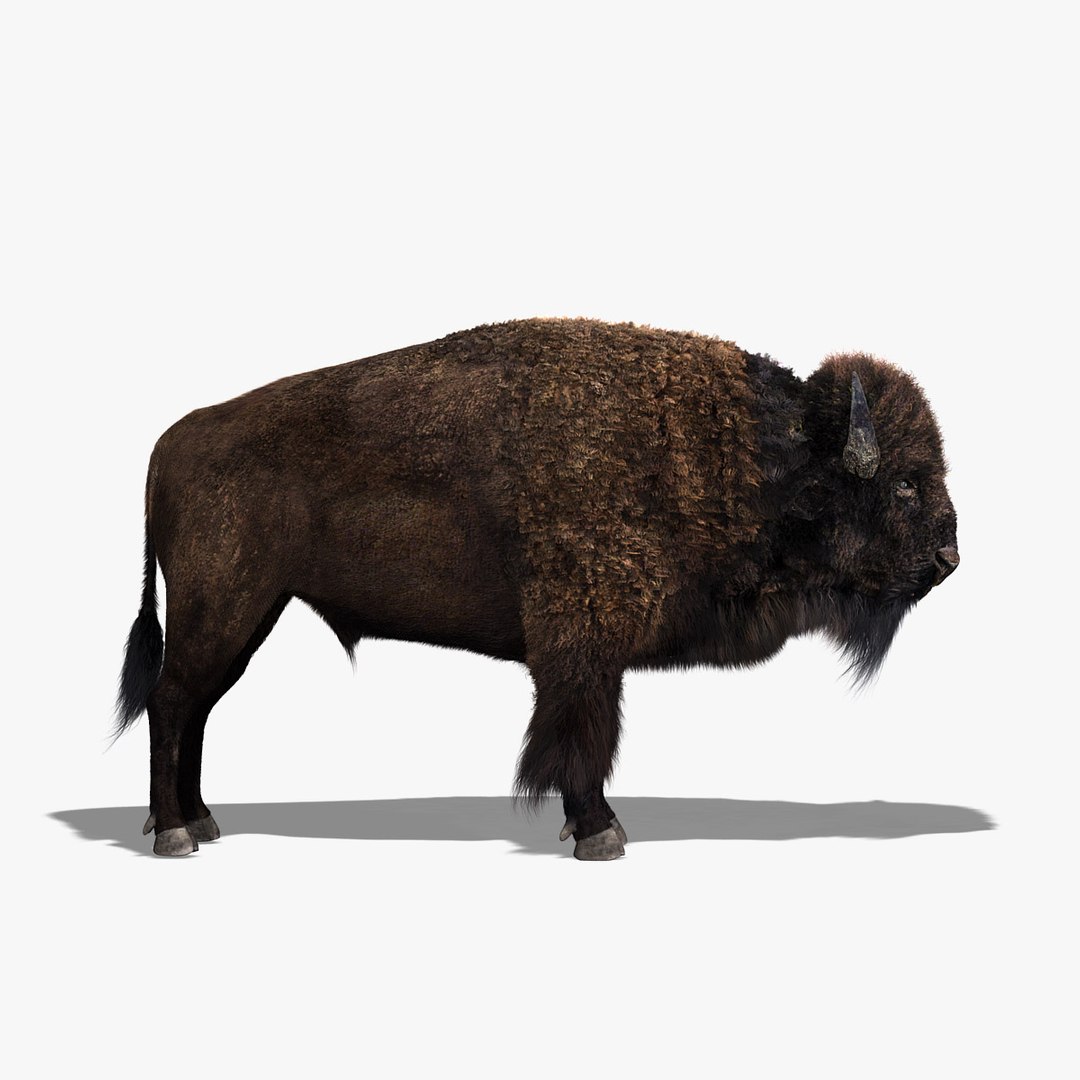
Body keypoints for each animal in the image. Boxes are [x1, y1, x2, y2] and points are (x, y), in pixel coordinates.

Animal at [115, 317, 959, 859]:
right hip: (223, 608)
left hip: (249, 615)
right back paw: (175, 836)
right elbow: (583, 737)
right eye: (906, 484)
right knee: (172, 702)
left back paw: (201, 821)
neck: (753, 455)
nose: (951, 556)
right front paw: (599, 834)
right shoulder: (582, 649)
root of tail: (171, 441)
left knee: (194, 709)